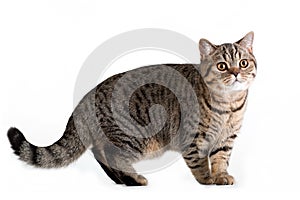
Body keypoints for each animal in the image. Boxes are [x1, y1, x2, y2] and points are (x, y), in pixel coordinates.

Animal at [7, 31, 256, 186]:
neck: (229, 104)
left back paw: (123, 180)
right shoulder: (193, 138)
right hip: (134, 137)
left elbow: (221, 159)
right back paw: (134, 179)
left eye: (243, 63)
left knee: (100, 153)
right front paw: (207, 179)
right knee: (111, 154)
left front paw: (221, 176)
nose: (235, 73)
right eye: (222, 66)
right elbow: (201, 163)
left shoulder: (226, 139)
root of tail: (89, 94)